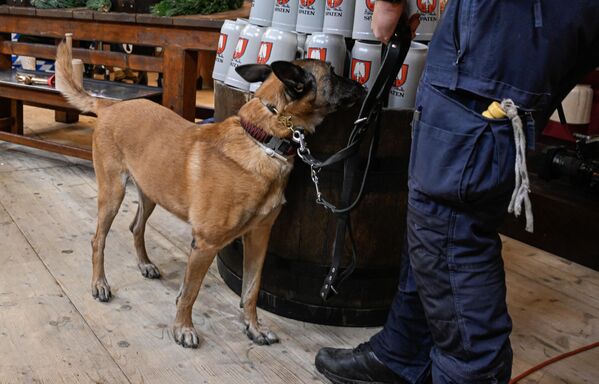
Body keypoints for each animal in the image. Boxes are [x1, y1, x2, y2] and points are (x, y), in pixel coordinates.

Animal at [56, 41, 366, 348]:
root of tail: (110, 106)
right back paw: (99, 284)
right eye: (333, 73)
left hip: (151, 192)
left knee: (136, 226)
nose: (361, 85)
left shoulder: (258, 237)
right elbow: (190, 292)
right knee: (98, 240)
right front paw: (183, 328)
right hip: (113, 192)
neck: (263, 139)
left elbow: (251, 290)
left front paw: (253, 328)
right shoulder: (206, 244)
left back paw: (144, 264)